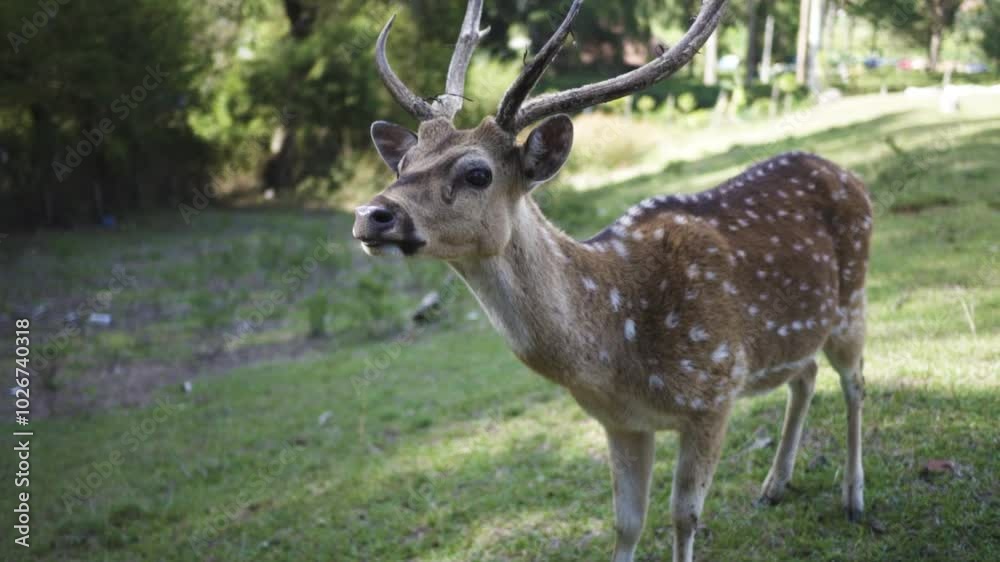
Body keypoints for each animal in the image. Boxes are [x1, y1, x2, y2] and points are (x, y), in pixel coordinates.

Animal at [350, 2, 868, 556]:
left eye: (477, 173)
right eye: (403, 163)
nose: (370, 215)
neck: (617, 349)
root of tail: (848, 173)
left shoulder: (714, 392)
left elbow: (684, 516)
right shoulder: (621, 422)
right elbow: (626, 523)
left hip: (853, 300)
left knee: (854, 383)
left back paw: (853, 497)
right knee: (806, 373)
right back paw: (775, 485)